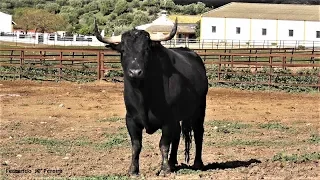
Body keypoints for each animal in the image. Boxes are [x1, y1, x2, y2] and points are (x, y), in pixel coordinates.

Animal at [94, 19, 209, 175]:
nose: (135, 72)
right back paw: (173, 162)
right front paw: (133, 170)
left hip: (199, 109)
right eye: (123, 51)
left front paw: (164, 169)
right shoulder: (131, 119)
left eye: (146, 50)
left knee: (198, 133)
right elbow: (136, 145)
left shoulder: (168, 120)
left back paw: (197, 163)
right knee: (177, 135)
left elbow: (163, 144)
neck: (144, 96)